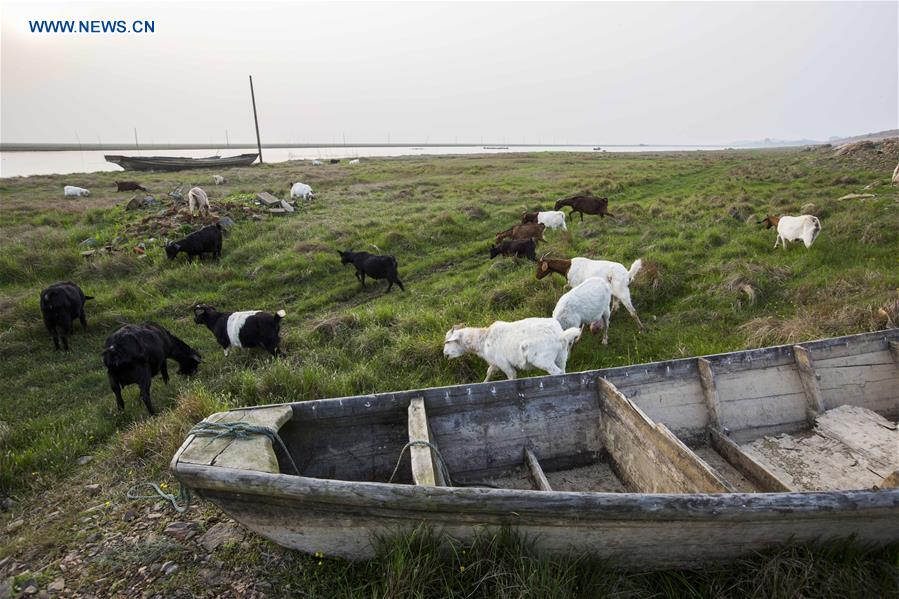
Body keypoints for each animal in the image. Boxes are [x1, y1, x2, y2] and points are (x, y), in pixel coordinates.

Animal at [442, 316, 584, 382]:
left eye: (448, 342)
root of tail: (560, 336)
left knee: (557, 372)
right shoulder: (495, 362)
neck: (483, 340)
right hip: (561, 356)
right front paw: (484, 383)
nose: (445, 355)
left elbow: (511, 376)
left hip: (542, 359)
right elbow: (489, 372)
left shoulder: (504, 364)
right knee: (563, 370)